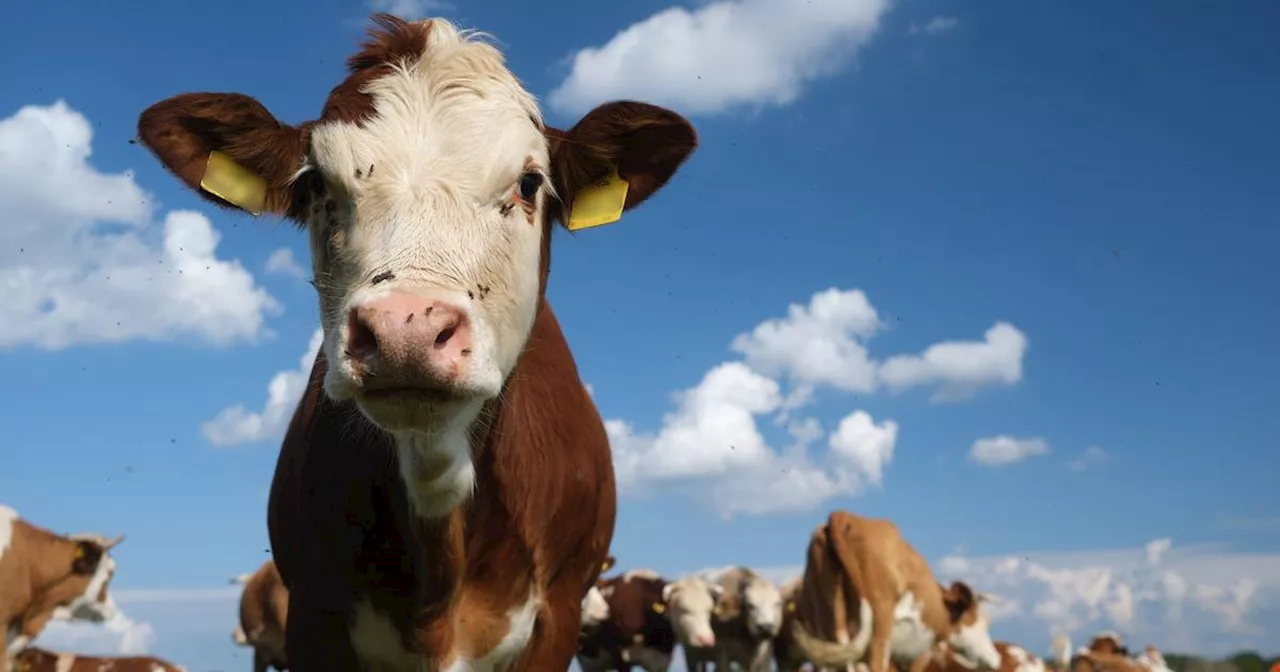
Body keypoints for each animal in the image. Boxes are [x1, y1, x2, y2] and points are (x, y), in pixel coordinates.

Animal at [778, 509, 998, 670]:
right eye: (981, 622)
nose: (995, 659)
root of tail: (844, 515)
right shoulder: (920, 653)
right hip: (879, 627)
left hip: (830, 625)